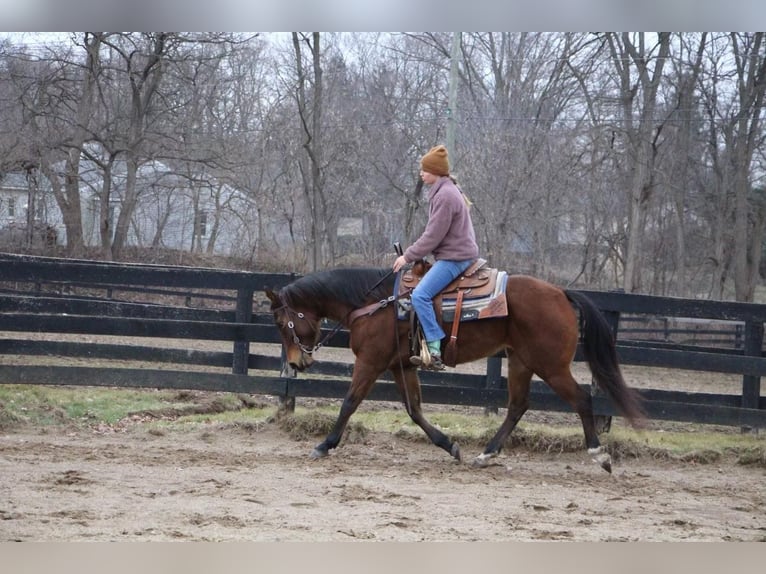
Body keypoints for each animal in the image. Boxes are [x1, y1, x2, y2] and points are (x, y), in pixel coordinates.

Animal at [266, 266, 648, 472]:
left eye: (283, 324)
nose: (298, 362)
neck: (372, 304)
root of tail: (561, 293)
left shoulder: (370, 363)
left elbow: (349, 402)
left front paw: (324, 445)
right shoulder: (401, 367)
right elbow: (414, 410)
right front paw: (449, 445)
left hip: (550, 365)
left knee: (582, 400)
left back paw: (600, 455)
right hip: (521, 361)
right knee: (517, 406)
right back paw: (485, 454)